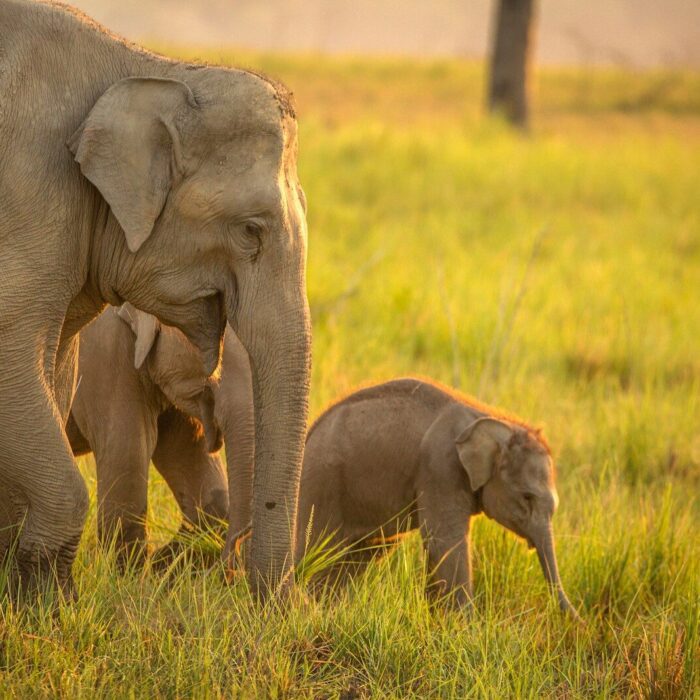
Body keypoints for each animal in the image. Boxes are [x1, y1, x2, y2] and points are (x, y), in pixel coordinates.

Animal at [0, 0, 310, 600]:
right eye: (251, 230)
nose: (275, 605)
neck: (150, 67)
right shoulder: (28, 197)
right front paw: (50, 603)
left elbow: (53, 370)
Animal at [292, 378, 579, 617]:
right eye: (527, 497)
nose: (579, 622)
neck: (493, 419)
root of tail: (309, 432)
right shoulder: (440, 467)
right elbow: (446, 543)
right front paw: (467, 629)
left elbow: (435, 547)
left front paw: (440, 620)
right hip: (320, 484)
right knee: (315, 546)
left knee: (365, 552)